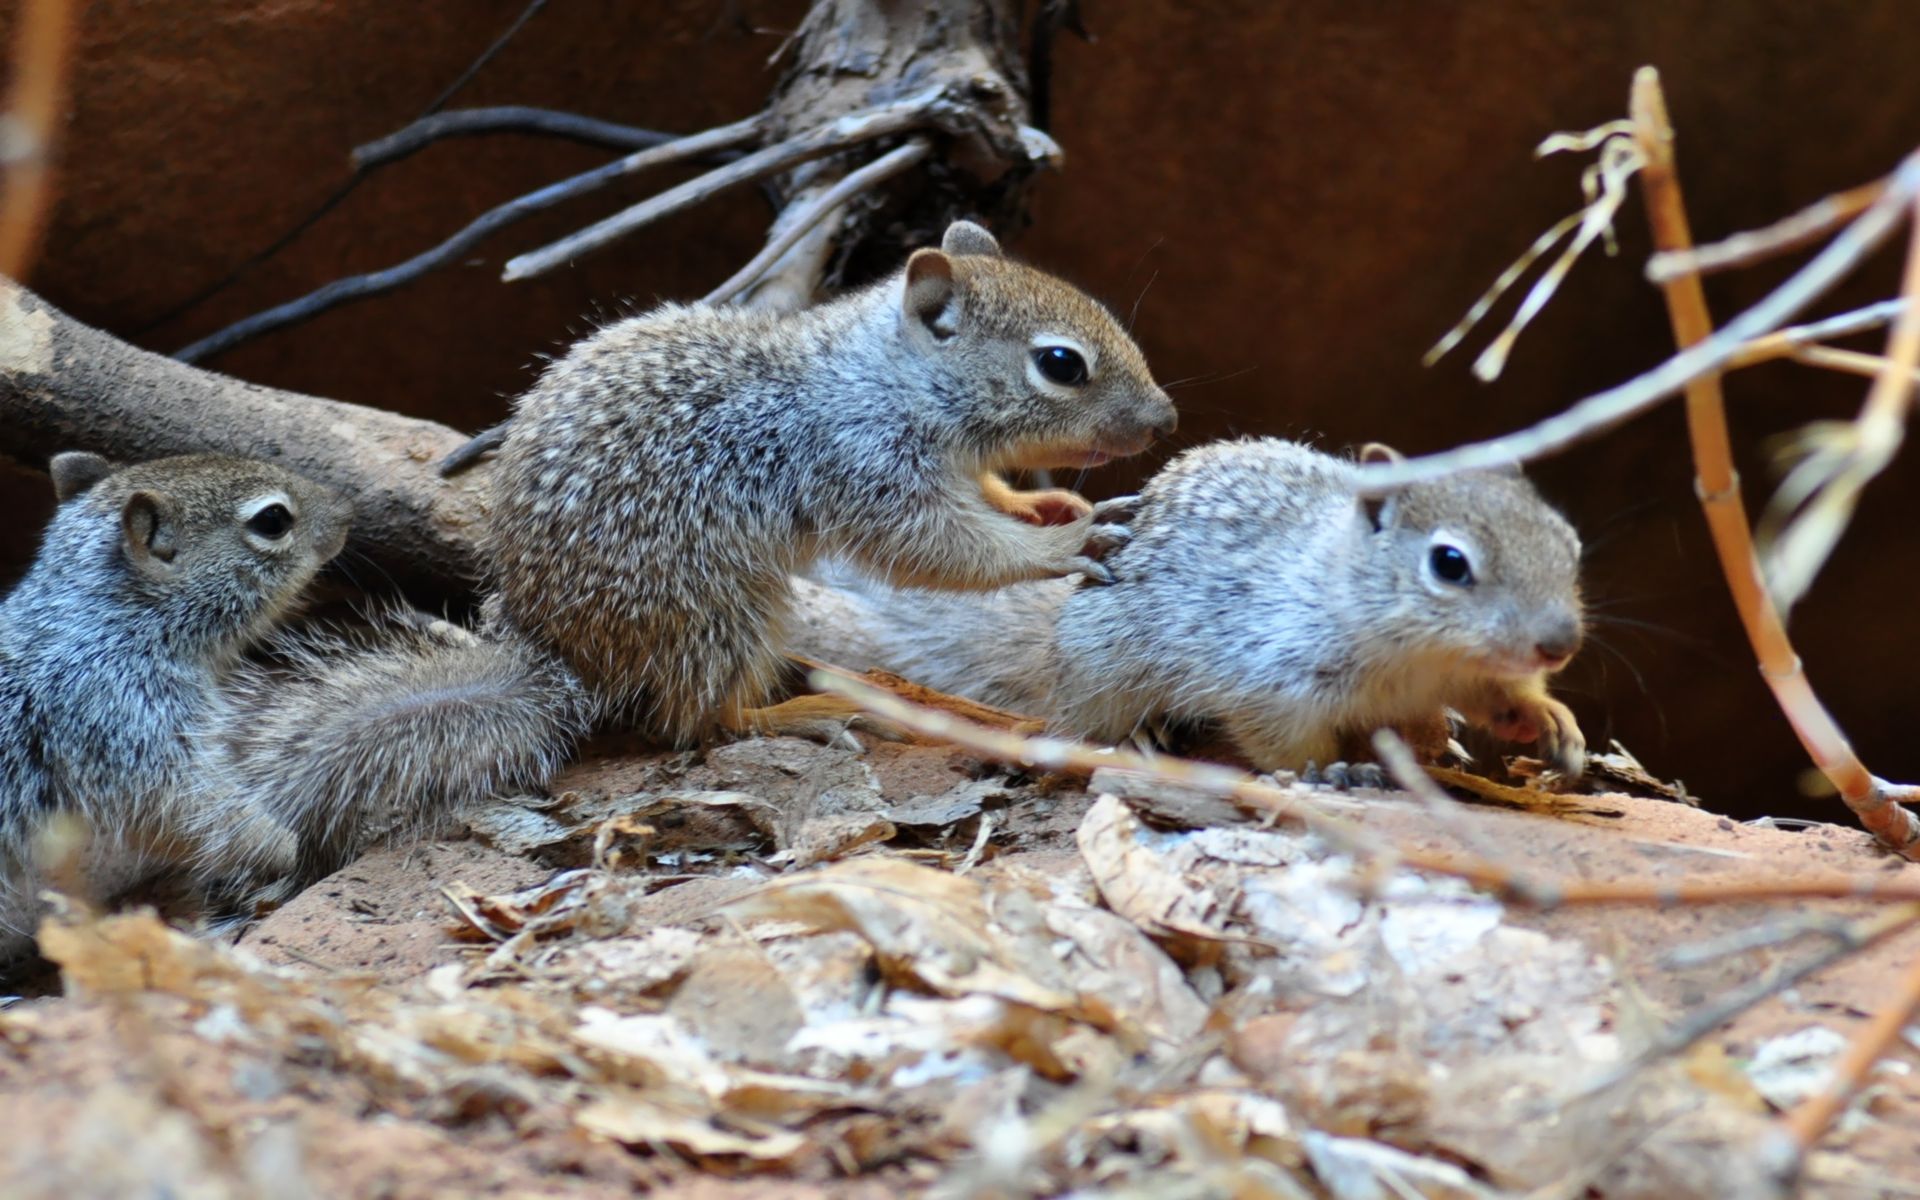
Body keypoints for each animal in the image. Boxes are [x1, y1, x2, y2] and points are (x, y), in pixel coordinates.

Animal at [487, 214, 1175, 741]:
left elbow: (983, 500)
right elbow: (945, 549)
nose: (1164, 420)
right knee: (702, 720)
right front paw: (1063, 541)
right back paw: (811, 709)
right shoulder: (863, 466)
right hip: (717, 605)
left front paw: (1044, 505)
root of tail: (559, 644)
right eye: (1061, 364)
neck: (890, 379)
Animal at [794, 437, 1589, 775]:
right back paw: (1140, 733)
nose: (1560, 643)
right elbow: (1280, 740)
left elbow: (1502, 699)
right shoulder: (1268, 675)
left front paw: (1550, 721)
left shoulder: (1472, 674)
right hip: (1104, 667)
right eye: (1450, 564)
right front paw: (1324, 773)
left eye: (1568, 541)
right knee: (1084, 718)